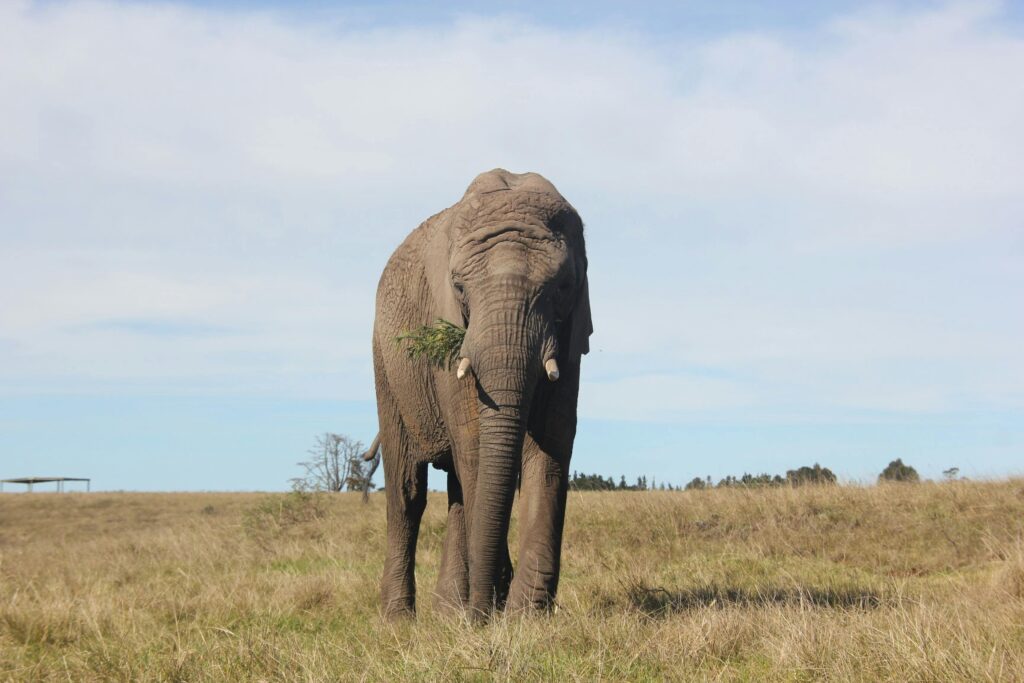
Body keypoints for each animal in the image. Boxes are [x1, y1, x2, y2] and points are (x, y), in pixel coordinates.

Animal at [368, 169, 593, 618]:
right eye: (458, 288)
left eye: (563, 288)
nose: (486, 610)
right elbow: (474, 446)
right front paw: (496, 607)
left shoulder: (570, 337)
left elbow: (551, 445)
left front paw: (526, 616)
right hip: (385, 363)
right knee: (407, 492)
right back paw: (400, 620)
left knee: (456, 485)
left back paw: (449, 613)